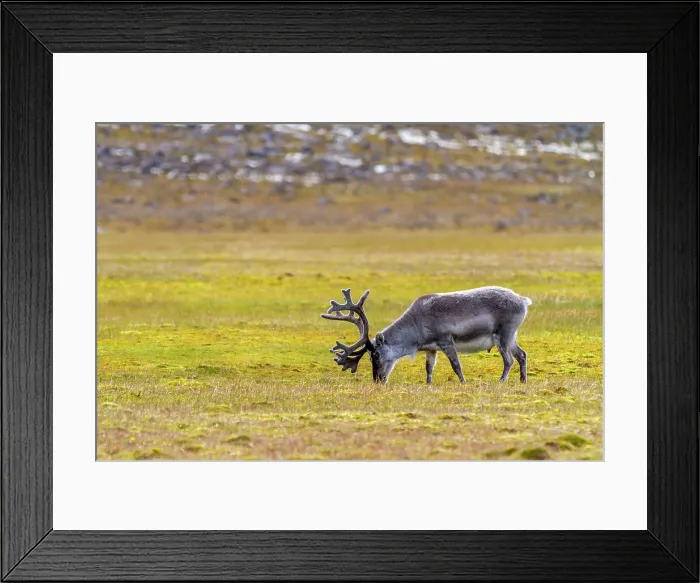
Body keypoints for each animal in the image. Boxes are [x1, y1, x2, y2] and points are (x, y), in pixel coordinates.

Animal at [321, 287, 531, 384]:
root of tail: (522, 300)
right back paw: (522, 381)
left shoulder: (446, 340)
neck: (416, 325)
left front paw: (463, 383)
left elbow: (456, 365)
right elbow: (429, 369)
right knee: (522, 354)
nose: (378, 380)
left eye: (376, 355)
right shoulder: (431, 349)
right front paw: (428, 384)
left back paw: (501, 381)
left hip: (503, 335)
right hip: (511, 336)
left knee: (509, 360)